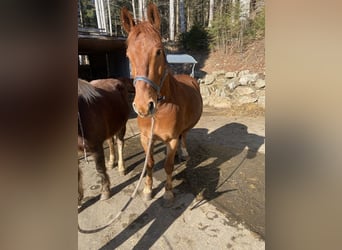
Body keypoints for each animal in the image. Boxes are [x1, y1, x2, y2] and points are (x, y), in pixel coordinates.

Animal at [120, 3, 202, 203]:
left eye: (158, 51)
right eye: (128, 55)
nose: (143, 106)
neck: (160, 110)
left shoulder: (171, 139)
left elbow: (168, 166)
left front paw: (168, 191)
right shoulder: (145, 138)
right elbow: (149, 163)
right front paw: (148, 189)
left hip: (186, 128)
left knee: (184, 136)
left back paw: (184, 152)